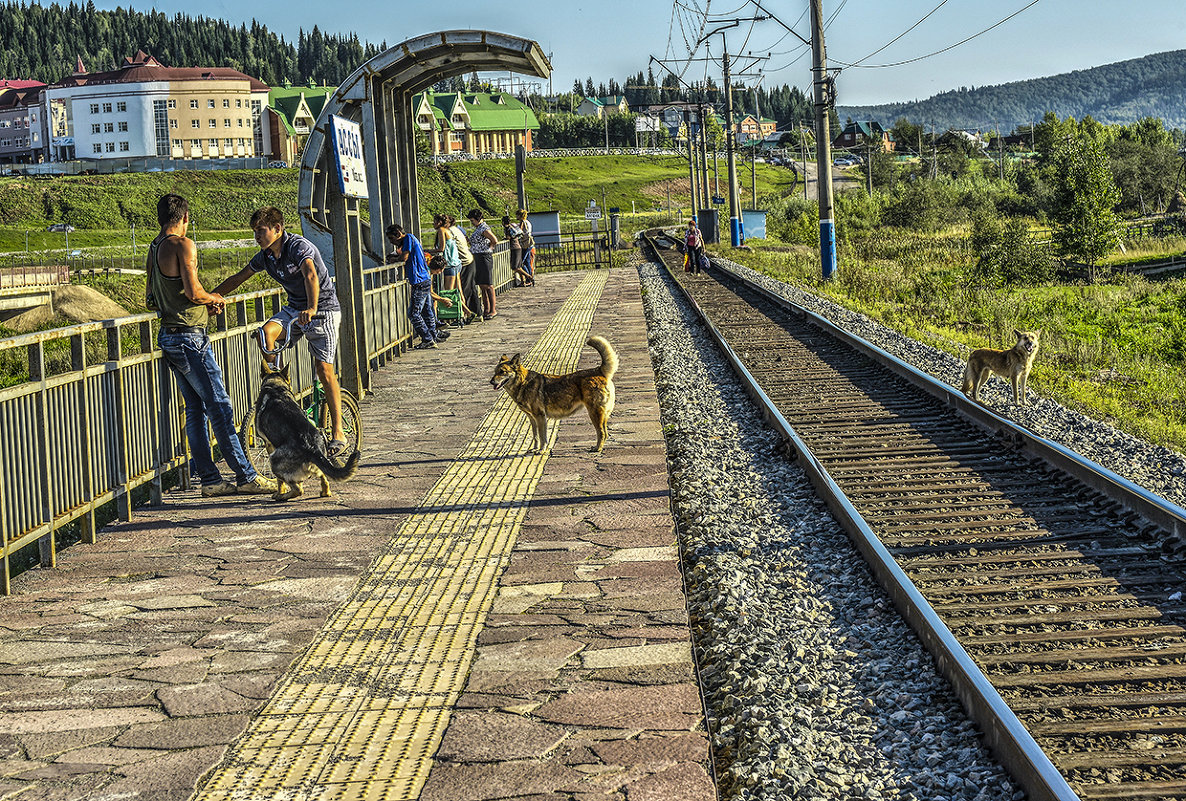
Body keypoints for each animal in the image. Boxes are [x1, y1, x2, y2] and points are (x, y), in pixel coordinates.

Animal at [252, 365, 358, 500]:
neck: (275, 386)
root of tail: (312, 447)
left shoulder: (268, 444)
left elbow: (280, 481)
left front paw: (280, 491)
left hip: (274, 461)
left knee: (298, 490)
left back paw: (282, 496)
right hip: (320, 462)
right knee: (323, 478)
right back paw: (325, 492)